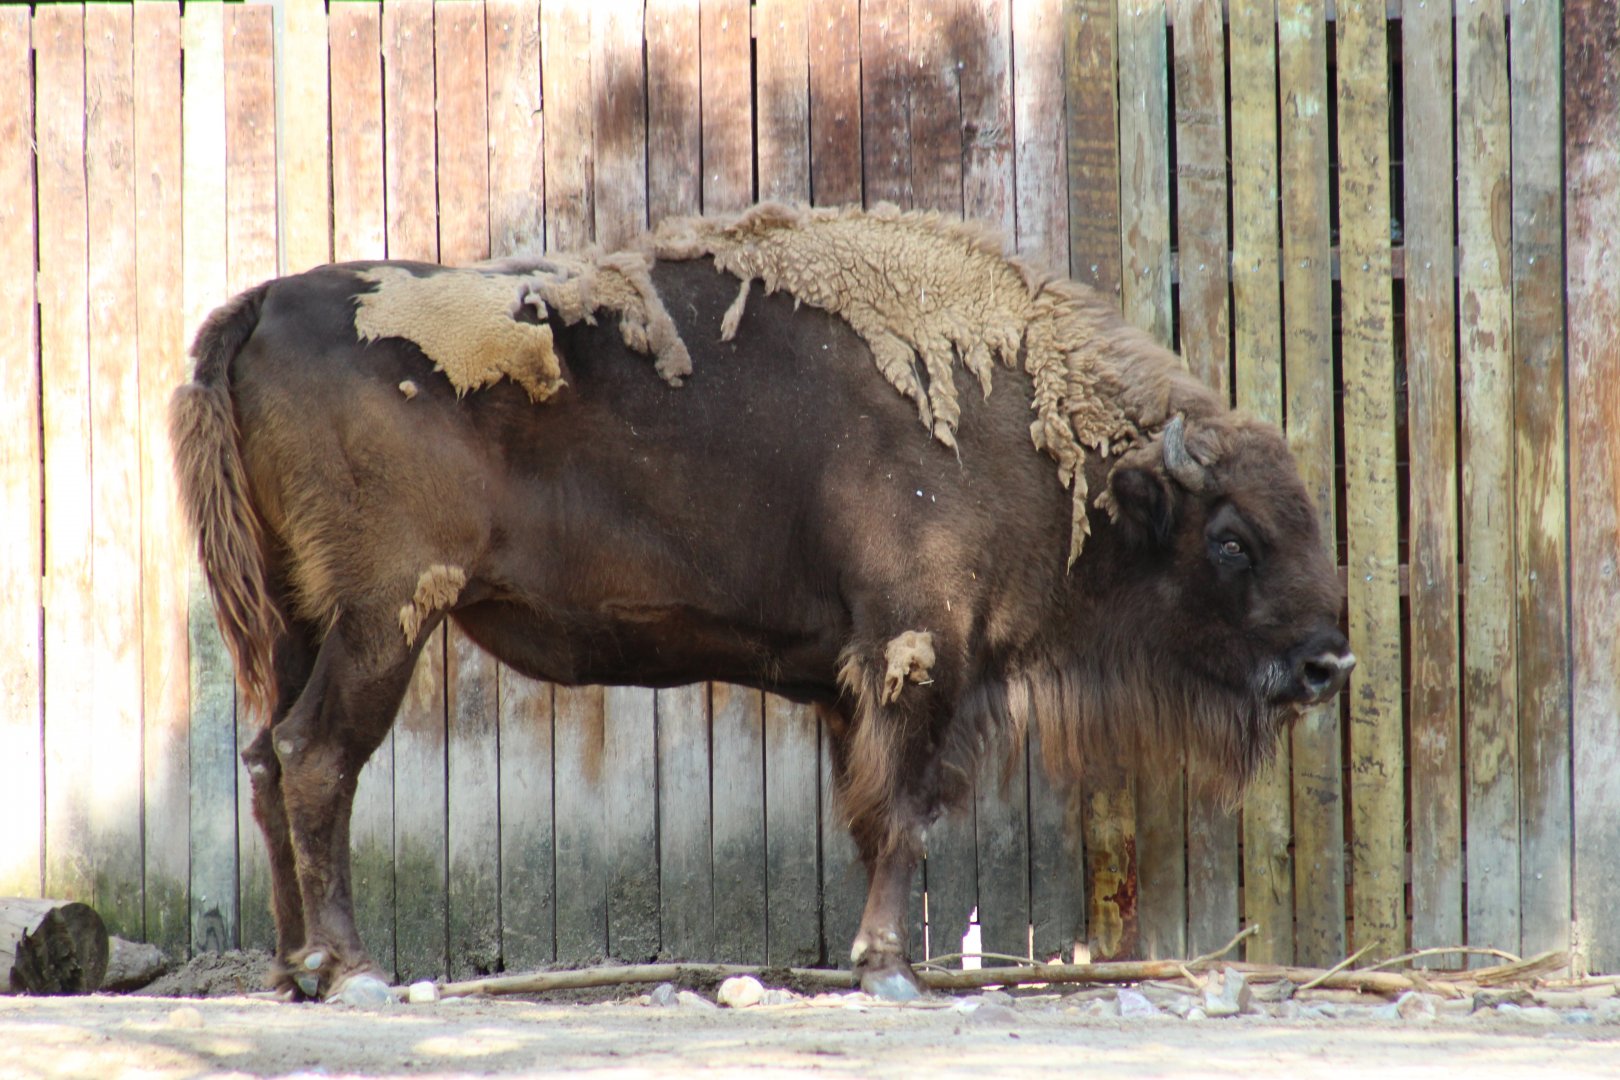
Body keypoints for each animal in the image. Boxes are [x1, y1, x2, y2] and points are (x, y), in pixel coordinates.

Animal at [172, 204, 1353, 1003]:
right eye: (1234, 539)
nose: (1328, 663)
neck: (1036, 434)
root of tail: (261, 304)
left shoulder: (853, 687)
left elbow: (872, 818)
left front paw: (877, 961)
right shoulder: (919, 657)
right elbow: (906, 816)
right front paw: (891, 969)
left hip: (300, 621)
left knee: (268, 760)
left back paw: (296, 969)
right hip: (386, 617)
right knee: (318, 759)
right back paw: (352, 969)